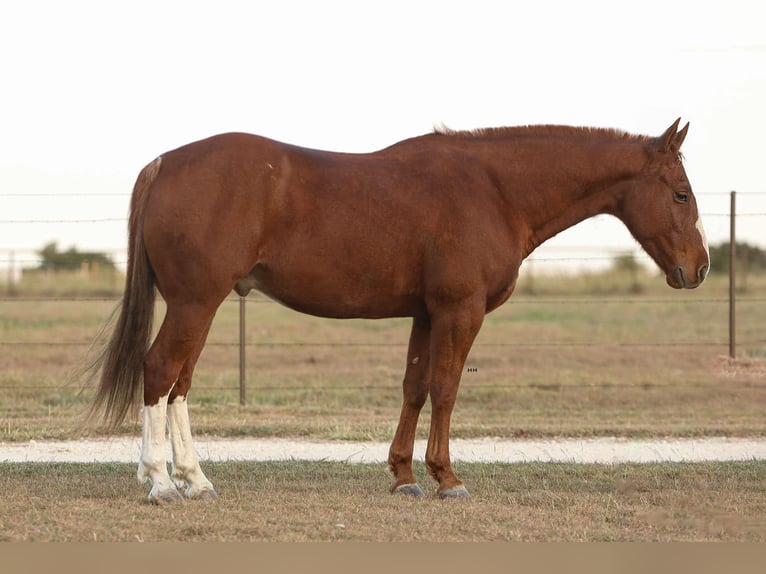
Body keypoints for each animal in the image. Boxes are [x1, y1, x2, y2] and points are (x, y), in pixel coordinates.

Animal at [90, 119, 709, 503]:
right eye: (680, 193)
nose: (699, 267)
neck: (495, 189)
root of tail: (166, 163)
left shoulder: (427, 314)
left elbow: (414, 387)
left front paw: (404, 476)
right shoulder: (460, 311)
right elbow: (446, 388)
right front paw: (447, 478)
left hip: (199, 305)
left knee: (179, 383)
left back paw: (194, 480)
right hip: (195, 303)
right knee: (160, 371)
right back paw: (162, 484)